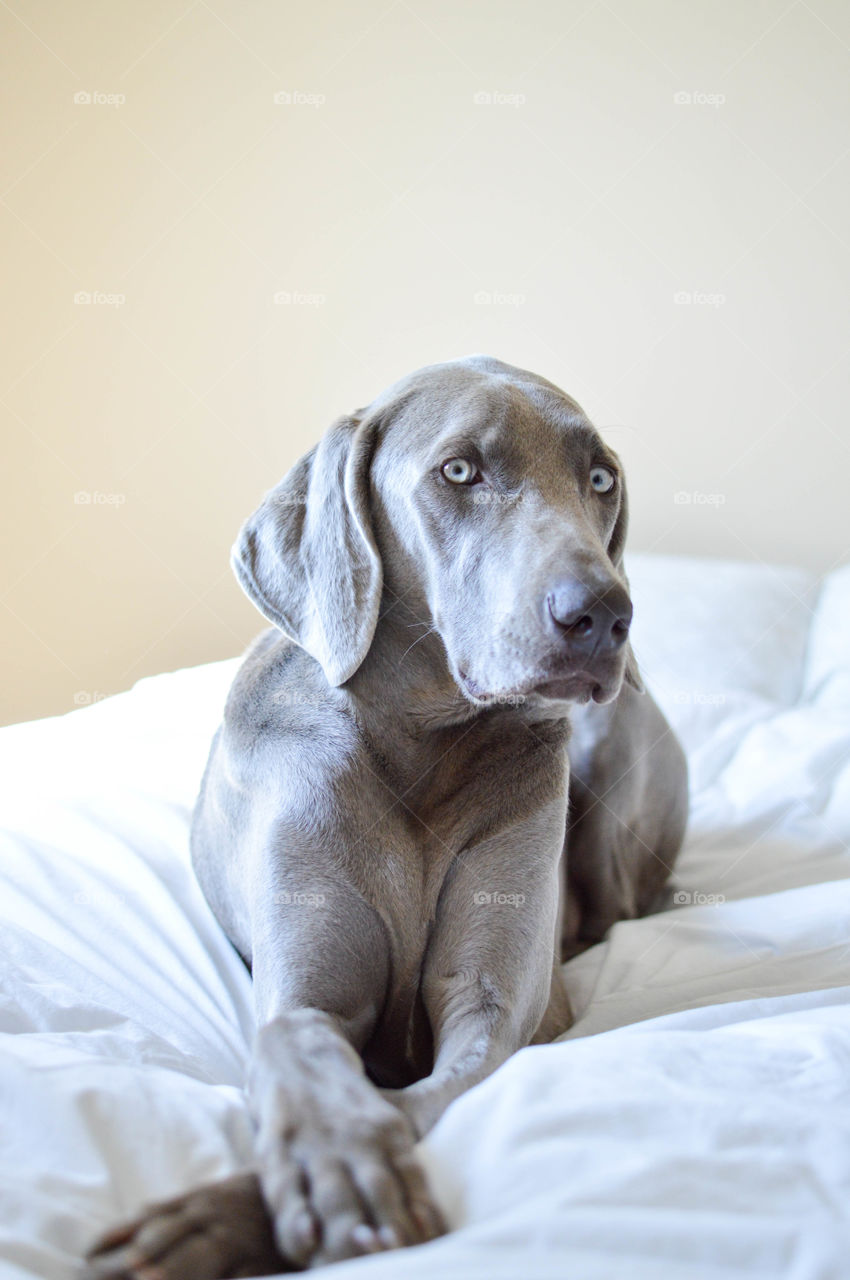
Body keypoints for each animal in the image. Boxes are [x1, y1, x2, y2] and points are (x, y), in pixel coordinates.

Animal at [86, 355, 686, 1274]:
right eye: (460, 471)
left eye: (600, 480)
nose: (602, 615)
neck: (418, 748)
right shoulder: (304, 985)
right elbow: (296, 1043)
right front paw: (328, 1169)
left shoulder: (494, 1010)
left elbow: (420, 1102)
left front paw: (230, 1215)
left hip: (608, 747)